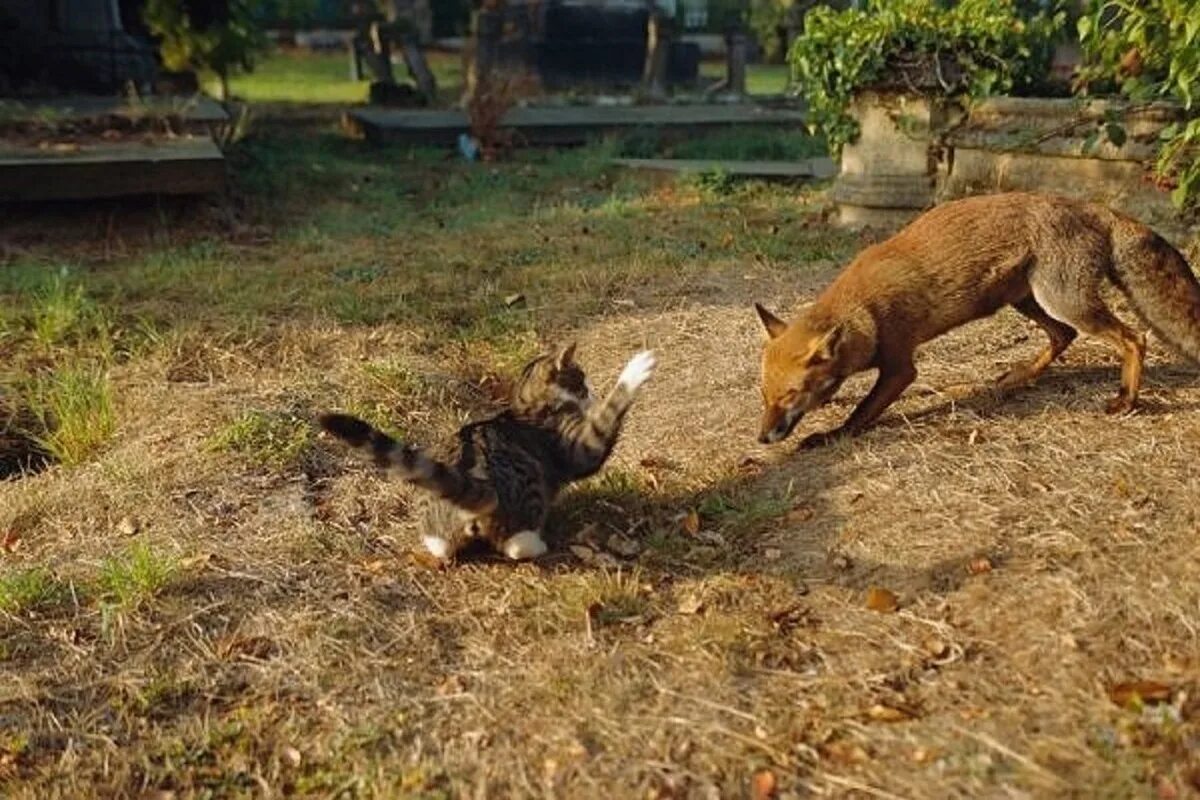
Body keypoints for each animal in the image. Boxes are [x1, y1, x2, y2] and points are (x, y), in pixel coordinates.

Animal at [319, 345, 657, 563]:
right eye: (582, 381)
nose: (593, 393)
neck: (527, 407)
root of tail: (470, 479)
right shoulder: (580, 446)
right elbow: (608, 415)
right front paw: (636, 370)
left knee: (439, 545)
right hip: (527, 494)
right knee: (515, 546)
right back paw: (536, 543)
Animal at [753, 190, 1200, 448]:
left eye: (790, 396)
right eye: (765, 396)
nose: (761, 438)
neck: (864, 312)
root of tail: (1094, 207)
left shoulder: (900, 365)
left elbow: (863, 411)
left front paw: (831, 435)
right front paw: (834, 400)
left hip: (1063, 301)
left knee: (1133, 338)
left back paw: (1127, 400)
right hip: (1029, 302)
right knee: (1063, 337)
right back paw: (1017, 377)